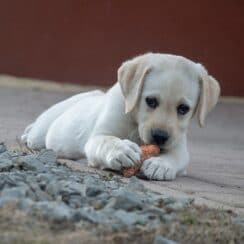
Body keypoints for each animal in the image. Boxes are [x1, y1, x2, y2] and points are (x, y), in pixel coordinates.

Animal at [21, 53, 220, 179]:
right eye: (151, 101)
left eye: (183, 109)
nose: (160, 136)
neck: (135, 124)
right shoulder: (98, 136)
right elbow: (107, 141)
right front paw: (121, 150)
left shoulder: (179, 146)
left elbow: (176, 157)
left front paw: (160, 165)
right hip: (42, 132)